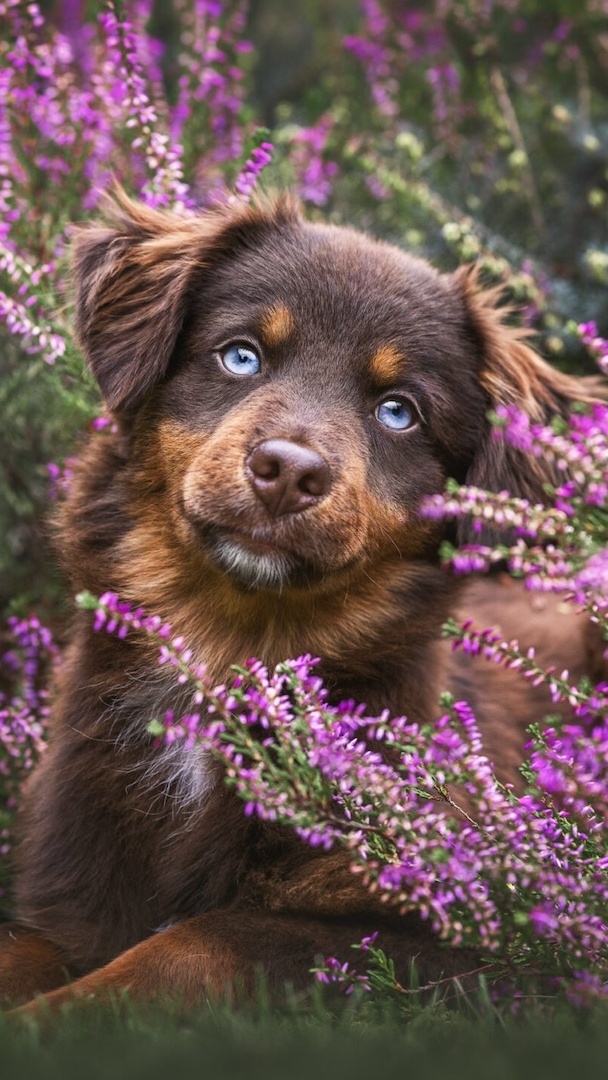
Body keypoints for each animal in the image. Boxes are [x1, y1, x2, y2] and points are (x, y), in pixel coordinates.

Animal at [0, 192, 600, 1010]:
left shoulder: (464, 941)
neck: (230, 646)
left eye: (399, 411)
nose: (287, 471)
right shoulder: (73, 896)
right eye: (241, 355)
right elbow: (23, 950)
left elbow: (195, 944)